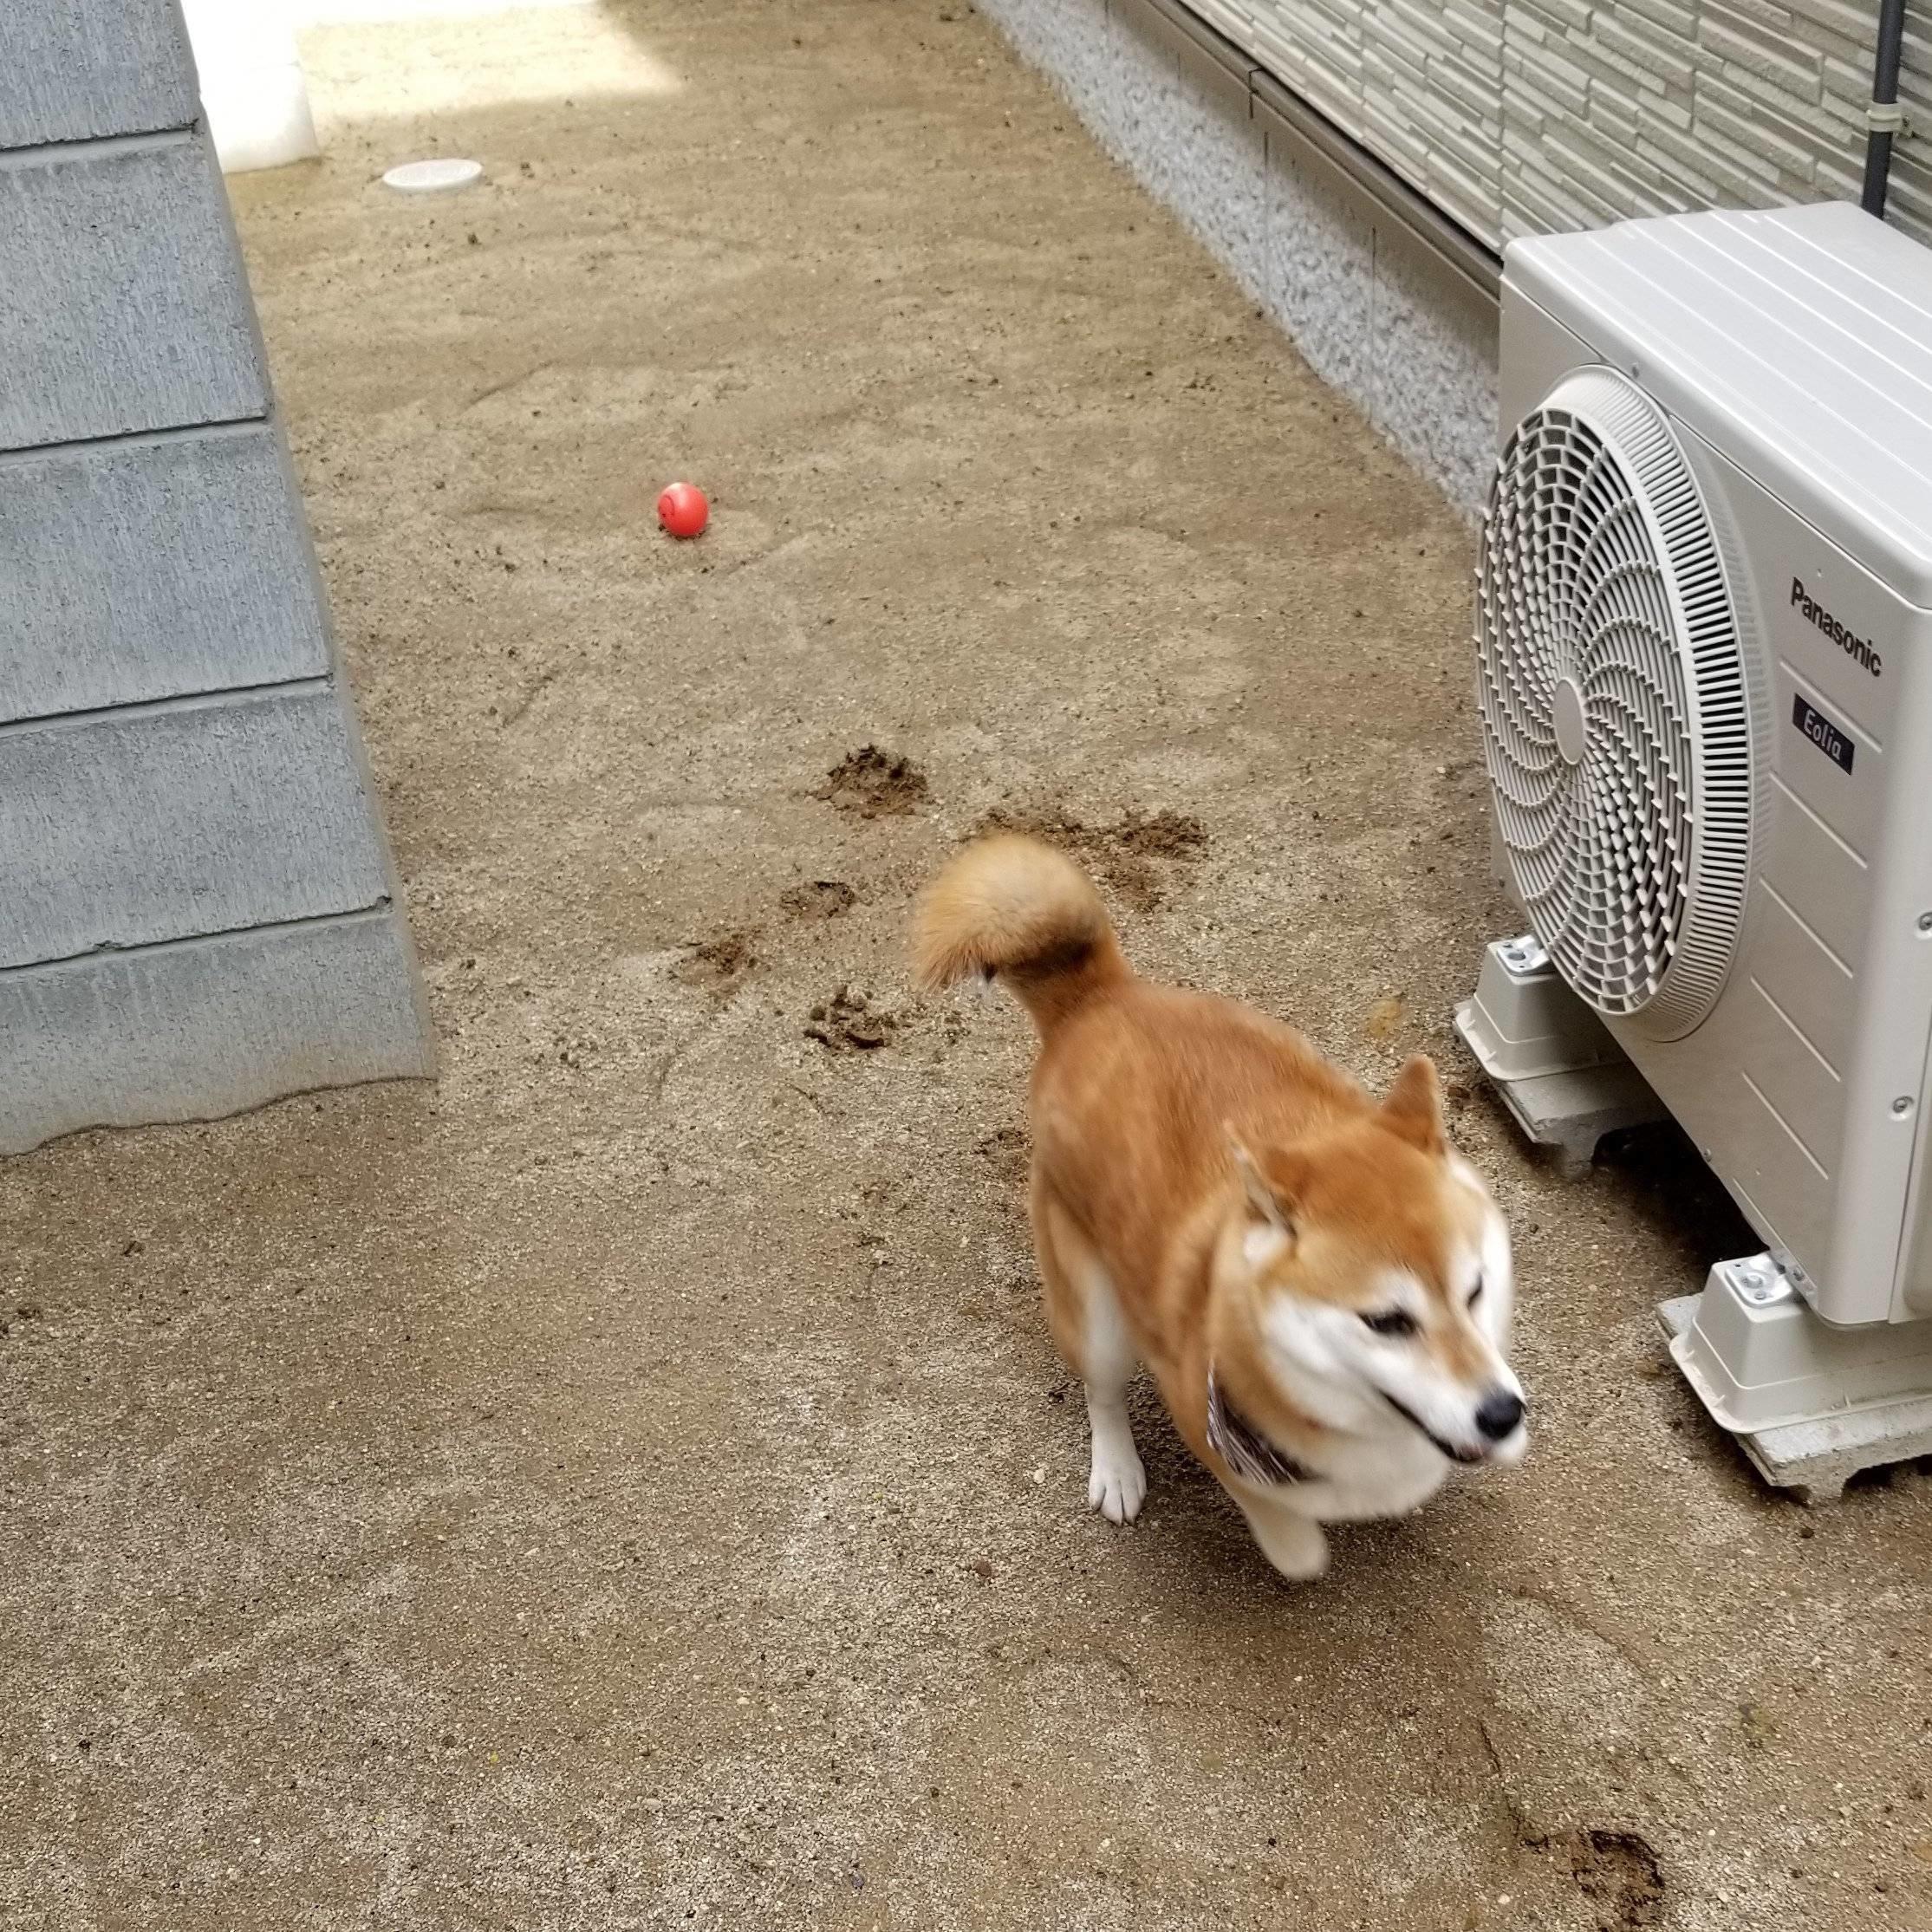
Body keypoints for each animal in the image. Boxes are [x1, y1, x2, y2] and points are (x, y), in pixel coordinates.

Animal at [912, 838, 1530, 1576]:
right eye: (1386, 1321)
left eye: (1476, 1289)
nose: (1502, 1414)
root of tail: (1098, 998)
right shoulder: (1204, 1416)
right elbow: (1290, 1539)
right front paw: (1300, 1543)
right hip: (1095, 1311)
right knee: (1101, 1390)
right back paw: (1116, 1468)